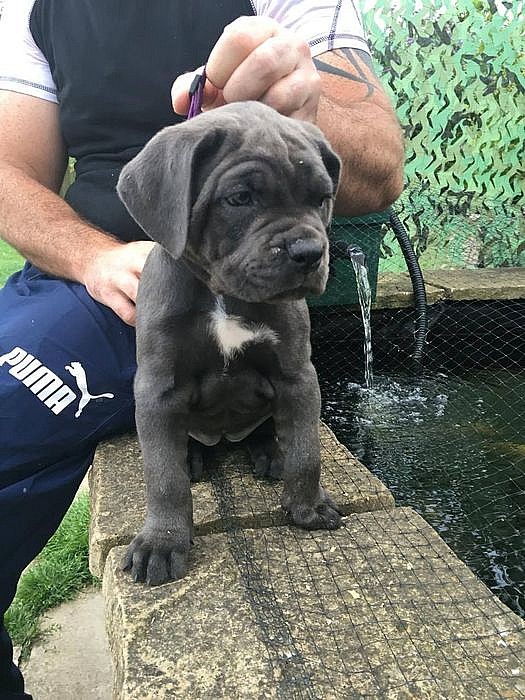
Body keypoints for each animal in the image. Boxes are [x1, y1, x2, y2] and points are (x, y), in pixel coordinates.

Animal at [117, 101, 342, 586]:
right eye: (240, 199)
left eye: (321, 198)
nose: (309, 252)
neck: (221, 294)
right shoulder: (158, 389)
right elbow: (163, 476)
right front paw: (162, 541)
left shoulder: (297, 375)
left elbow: (306, 450)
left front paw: (308, 506)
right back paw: (194, 458)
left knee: (266, 430)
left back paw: (269, 452)